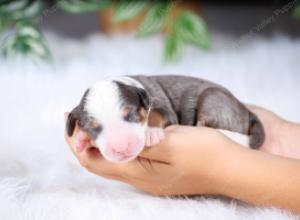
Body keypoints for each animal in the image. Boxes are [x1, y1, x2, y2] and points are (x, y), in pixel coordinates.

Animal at [66, 75, 264, 163]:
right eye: (94, 128)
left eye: (130, 116)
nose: (121, 148)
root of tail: (247, 112)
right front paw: (81, 138)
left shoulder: (164, 108)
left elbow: (155, 114)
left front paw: (151, 132)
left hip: (213, 98)